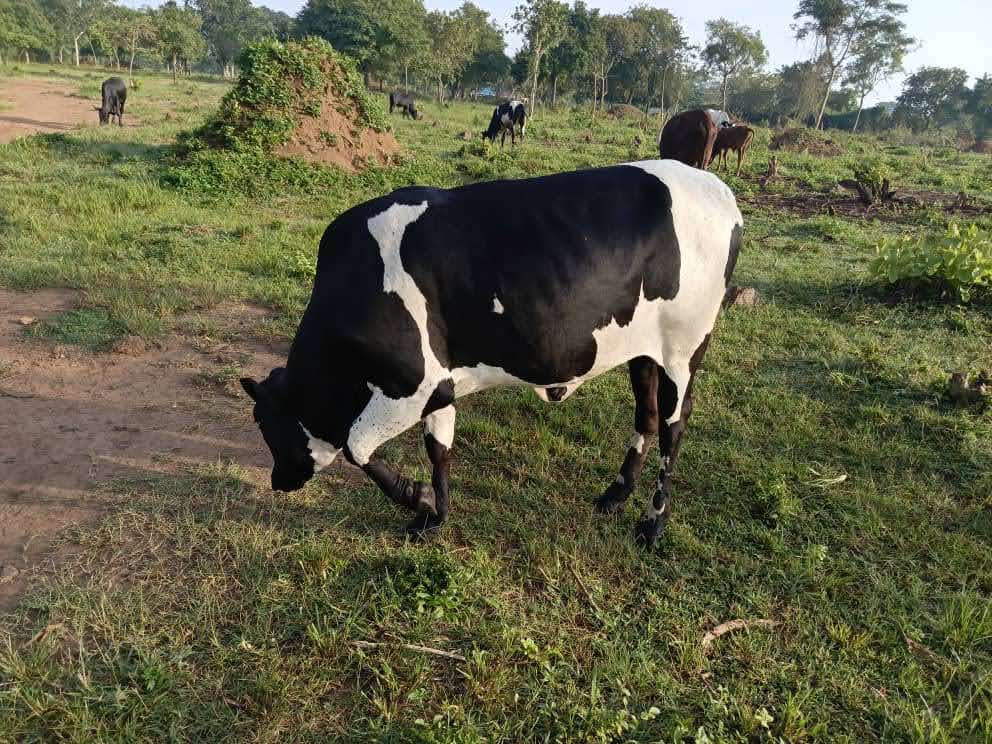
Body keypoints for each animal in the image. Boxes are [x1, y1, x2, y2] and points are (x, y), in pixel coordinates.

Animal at [240, 160, 743, 546]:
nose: (276, 481)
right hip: (644, 351)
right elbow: (438, 449)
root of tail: (717, 188)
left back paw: (653, 524)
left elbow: (356, 445)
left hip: (685, 348)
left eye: (264, 423)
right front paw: (434, 516)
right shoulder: (440, 386)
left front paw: (416, 497)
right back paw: (614, 496)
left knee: (674, 428)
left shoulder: (412, 384)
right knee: (647, 415)